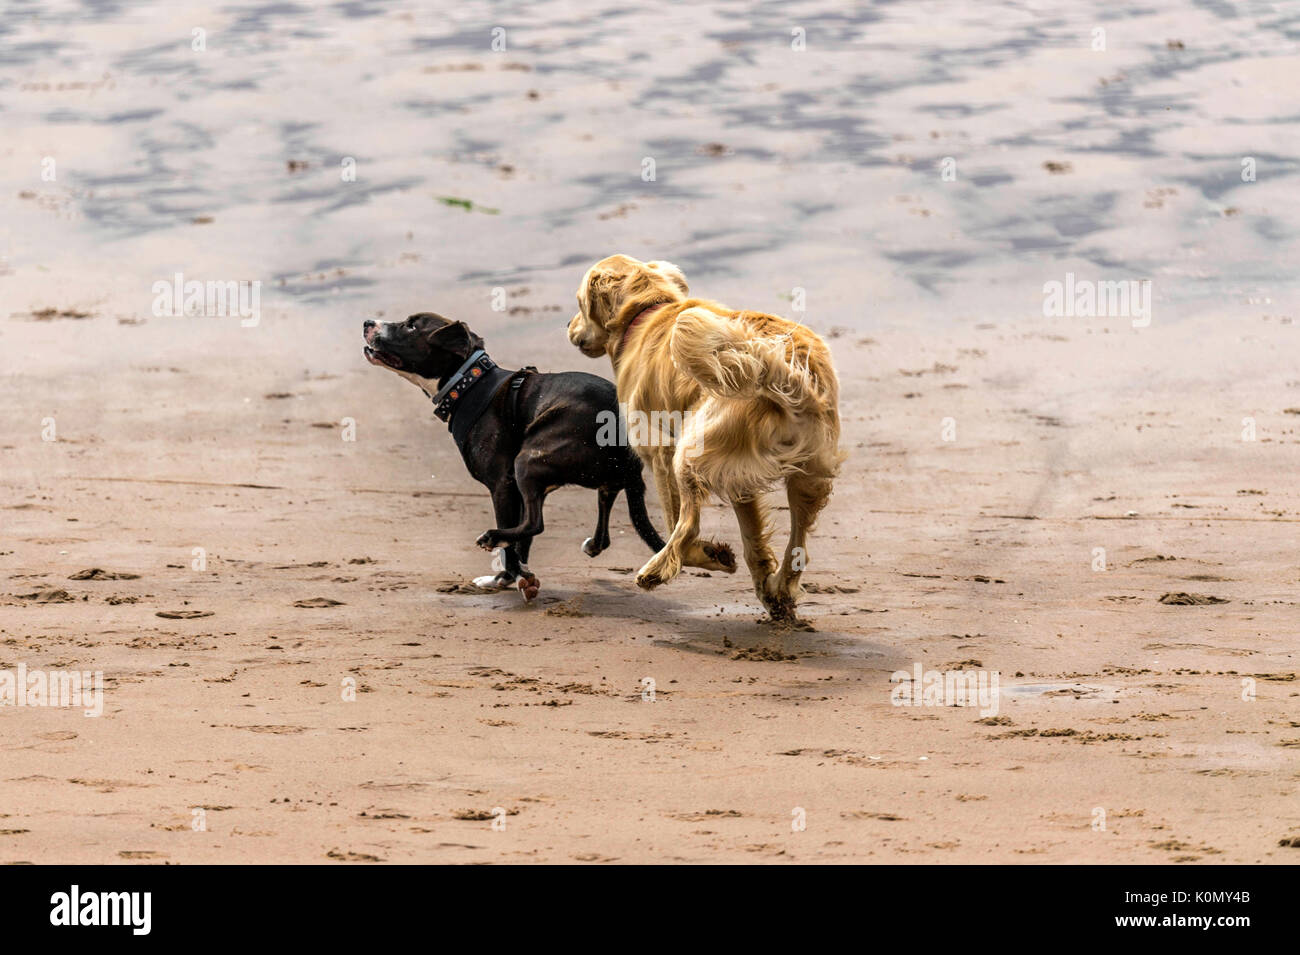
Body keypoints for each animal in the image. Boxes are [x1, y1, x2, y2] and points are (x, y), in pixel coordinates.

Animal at [369, 314, 665, 597]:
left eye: (410, 326)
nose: (367, 322)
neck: (468, 383)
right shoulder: (523, 491)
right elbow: (521, 543)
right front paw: (507, 578)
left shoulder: (503, 485)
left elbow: (513, 544)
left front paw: (514, 575)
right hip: (595, 480)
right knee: (598, 529)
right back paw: (591, 545)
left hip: (528, 460)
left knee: (536, 523)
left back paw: (492, 537)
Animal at [569, 257, 842, 623]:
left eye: (580, 304)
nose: (568, 326)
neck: (646, 312)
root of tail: (782, 374)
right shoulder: (740, 477)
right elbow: (753, 540)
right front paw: (763, 584)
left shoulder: (659, 454)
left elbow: (675, 523)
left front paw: (710, 555)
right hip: (806, 472)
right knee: (798, 543)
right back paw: (780, 591)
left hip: (688, 452)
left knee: (689, 524)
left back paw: (656, 570)